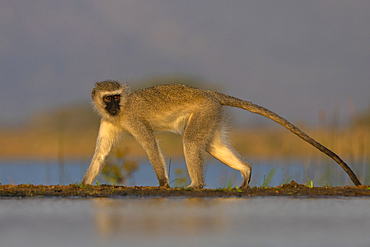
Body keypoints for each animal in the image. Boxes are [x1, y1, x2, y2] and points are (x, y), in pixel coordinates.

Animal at [81, 80, 362, 187]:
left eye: (117, 97)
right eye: (108, 98)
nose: (114, 107)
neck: (120, 112)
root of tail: (209, 93)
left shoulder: (133, 119)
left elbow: (150, 144)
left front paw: (162, 184)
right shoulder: (107, 122)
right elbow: (101, 154)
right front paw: (84, 183)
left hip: (205, 111)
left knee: (191, 141)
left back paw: (196, 185)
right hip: (212, 115)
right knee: (211, 146)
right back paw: (246, 171)